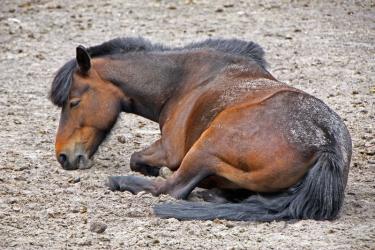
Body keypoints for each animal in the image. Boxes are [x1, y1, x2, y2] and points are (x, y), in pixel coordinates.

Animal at [50, 36, 352, 221]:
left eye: (73, 102)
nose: (63, 156)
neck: (184, 81)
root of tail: (327, 145)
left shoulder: (170, 150)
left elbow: (137, 159)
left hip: (205, 148)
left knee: (171, 188)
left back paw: (121, 181)